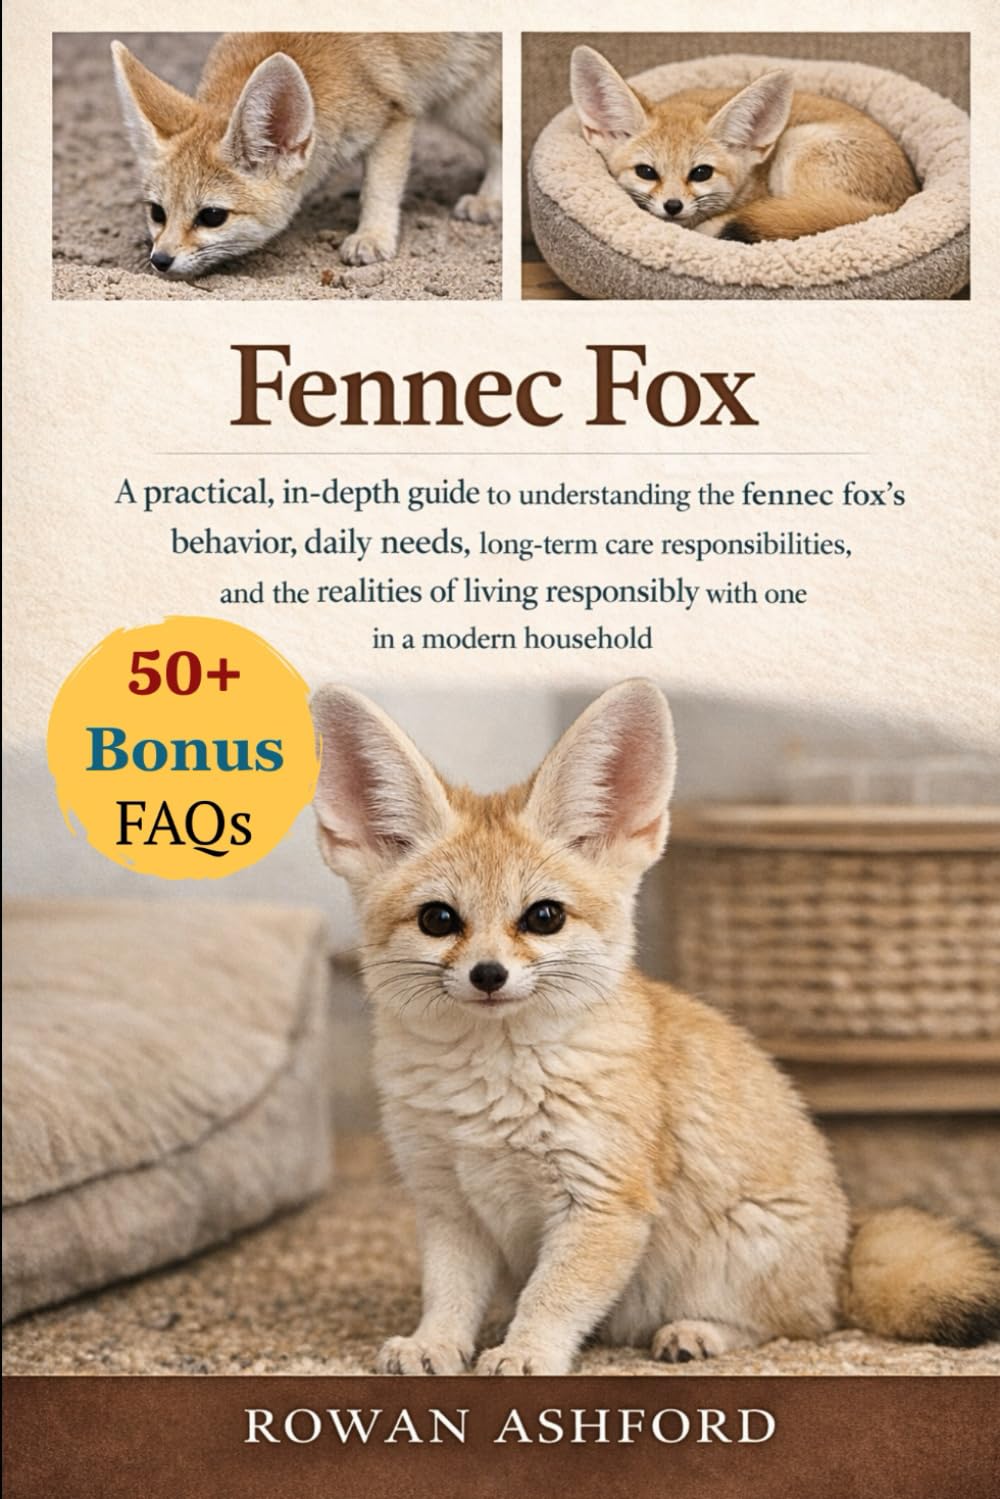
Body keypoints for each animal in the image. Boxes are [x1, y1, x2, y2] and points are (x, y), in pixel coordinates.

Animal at [110, 33, 501, 277]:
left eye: (212, 217)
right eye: (157, 213)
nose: (160, 260)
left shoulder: (393, 115)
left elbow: (379, 188)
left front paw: (373, 237)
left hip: (466, 104)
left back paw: (489, 200)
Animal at [310, 679, 1000, 1375]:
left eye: (543, 917)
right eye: (438, 920)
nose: (488, 975)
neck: (488, 1090)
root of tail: (847, 1252)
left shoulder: (603, 1201)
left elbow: (551, 1295)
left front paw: (525, 1353)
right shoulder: (448, 1204)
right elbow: (450, 1293)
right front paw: (435, 1343)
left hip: (738, 1251)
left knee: (797, 1326)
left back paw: (696, 1333)